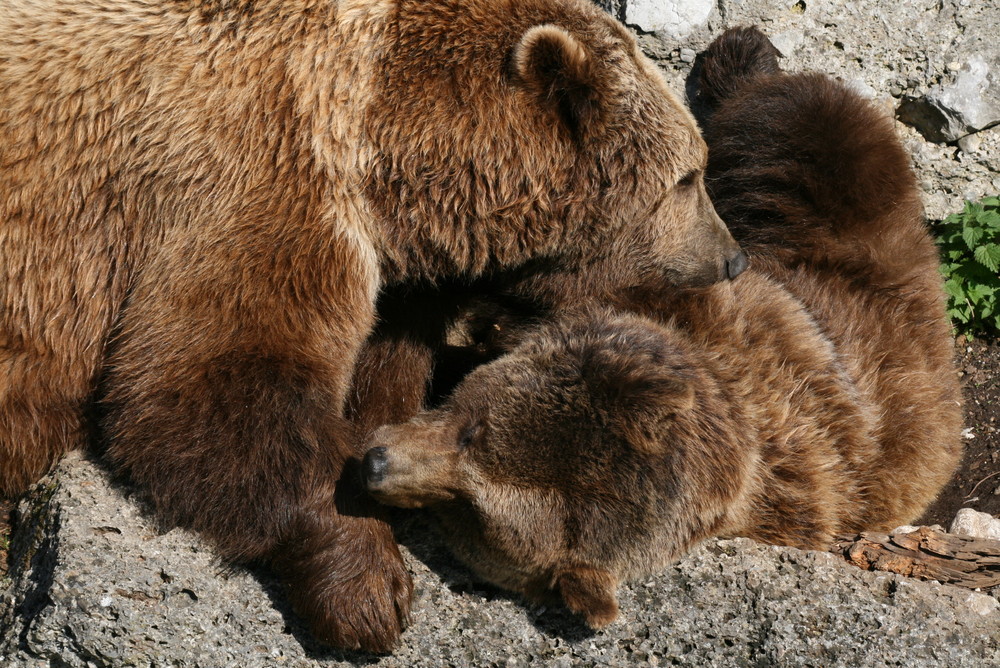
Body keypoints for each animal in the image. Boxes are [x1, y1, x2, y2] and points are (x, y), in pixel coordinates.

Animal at [0, 0, 744, 652]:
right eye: (688, 176)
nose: (732, 256)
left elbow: (379, 372)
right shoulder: (260, 176)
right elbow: (209, 383)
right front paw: (370, 589)